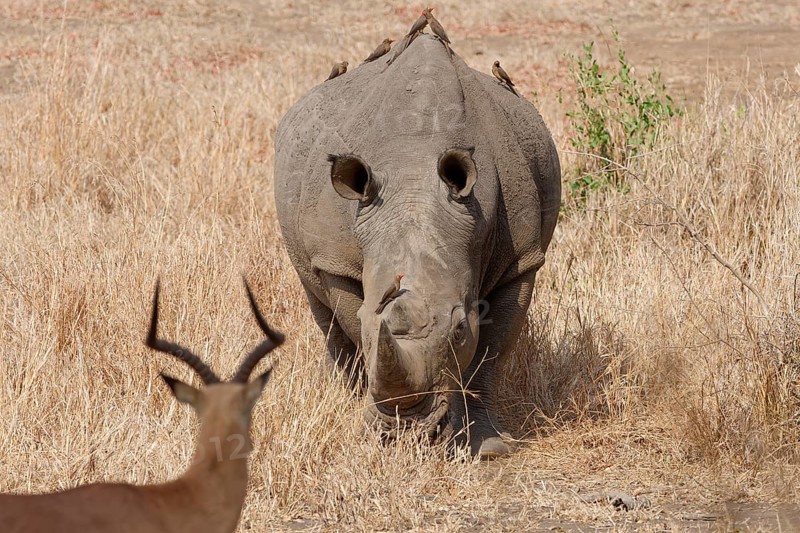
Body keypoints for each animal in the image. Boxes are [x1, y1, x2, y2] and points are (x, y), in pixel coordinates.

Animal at [274, 34, 561, 458]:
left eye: (460, 330)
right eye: (367, 319)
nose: (405, 433)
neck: (414, 177)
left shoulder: (521, 261)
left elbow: (489, 354)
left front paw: (487, 446)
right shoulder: (336, 261)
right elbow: (356, 328)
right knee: (319, 303)